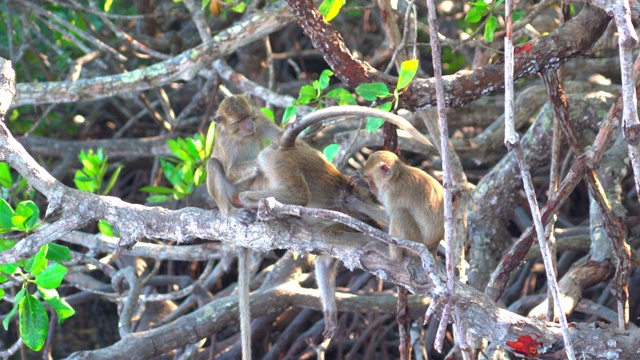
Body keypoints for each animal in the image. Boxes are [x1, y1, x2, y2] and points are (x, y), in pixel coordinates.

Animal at [205, 93, 280, 360]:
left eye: (248, 116)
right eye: (238, 121)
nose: (249, 126)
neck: (239, 135)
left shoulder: (261, 118)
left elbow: (280, 137)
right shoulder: (225, 142)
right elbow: (227, 170)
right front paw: (259, 161)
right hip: (231, 194)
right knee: (213, 165)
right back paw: (231, 212)